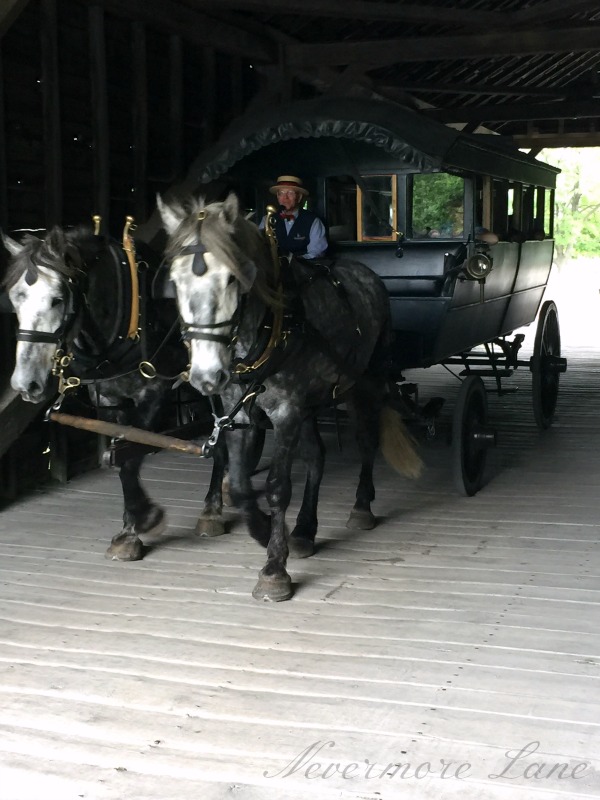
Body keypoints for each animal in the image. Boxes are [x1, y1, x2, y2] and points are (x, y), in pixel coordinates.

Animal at [159, 191, 422, 596]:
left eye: (233, 279)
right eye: (175, 281)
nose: (207, 376)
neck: (270, 324)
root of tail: (366, 274)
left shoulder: (285, 410)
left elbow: (278, 486)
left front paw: (273, 567)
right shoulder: (239, 413)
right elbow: (240, 484)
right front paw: (266, 529)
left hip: (364, 382)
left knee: (366, 440)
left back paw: (361, 507)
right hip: (311, 402)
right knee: (316, 456)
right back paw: (303, 529)